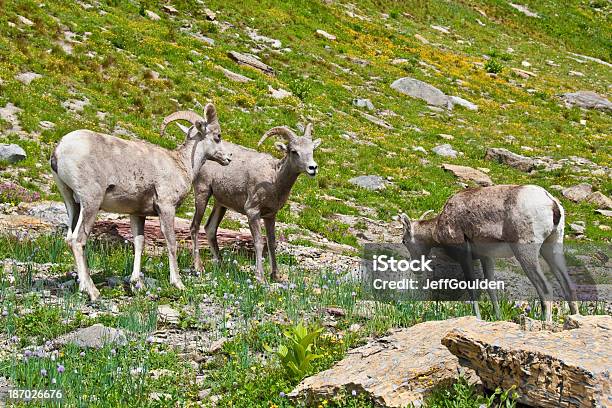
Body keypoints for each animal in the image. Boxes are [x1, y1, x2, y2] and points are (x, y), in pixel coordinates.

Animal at [50, 105, 230, 300]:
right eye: (217, 136)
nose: (229, 158)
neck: (182, 164)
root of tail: (58, 151)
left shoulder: (137, 214)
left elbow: (139, 243)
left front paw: (137, 284)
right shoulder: (166, 208)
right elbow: (171, 242)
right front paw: (178, 283)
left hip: (72, 203)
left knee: (69, 238)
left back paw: (83, 286)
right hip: (91, 203)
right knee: (78, 241)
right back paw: (92, 292)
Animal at [190, 122, 326, 282]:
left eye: (312, 149)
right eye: (294, 151)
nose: (313, 168)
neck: (274, 179)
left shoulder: (270, 216)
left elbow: (271, 243)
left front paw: (275, 275)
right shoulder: (253, 212)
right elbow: (259, 242)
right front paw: (260, 277)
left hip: (220, 204)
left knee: (210, 229)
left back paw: (222, 266)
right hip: (202, 193)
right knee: (194, 227)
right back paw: (198, 268)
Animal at [402, 185, 580, 322]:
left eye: (404, 241)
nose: (416, 267)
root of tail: (552, 204)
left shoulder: (464, 254)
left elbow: (471, 287)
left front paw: (478, 318)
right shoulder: (486, 257)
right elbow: (490, 286)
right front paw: (498, 317)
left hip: (525, 251)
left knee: (546, 288)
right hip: (552, 247)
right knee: (568, 286)